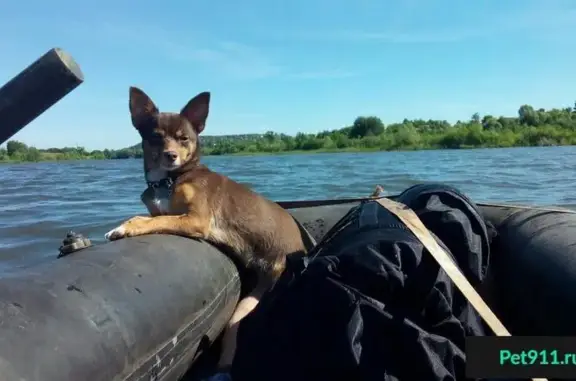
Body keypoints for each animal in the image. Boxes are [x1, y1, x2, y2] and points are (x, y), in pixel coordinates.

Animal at [105, 87, 308, 366]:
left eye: (184, 139)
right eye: (156, 137)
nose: (171, 156)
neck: (169, 180)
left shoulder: (197, 219)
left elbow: (154, 220)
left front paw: (125, 227)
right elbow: (155, 216)